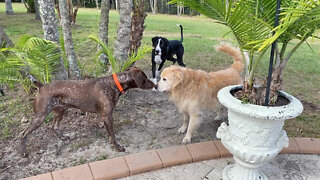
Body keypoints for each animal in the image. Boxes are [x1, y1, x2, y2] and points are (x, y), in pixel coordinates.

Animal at [20, 67, 155, 157]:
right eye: (145, 78)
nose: (154, 84)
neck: (114, 84)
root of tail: (41, 86)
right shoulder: (107, 116)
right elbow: (113, 135)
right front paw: (118, 147)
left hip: (61, 110)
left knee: (54, 127)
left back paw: (63, 137)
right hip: (40, 116)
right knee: (23, 134)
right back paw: (24, 152)